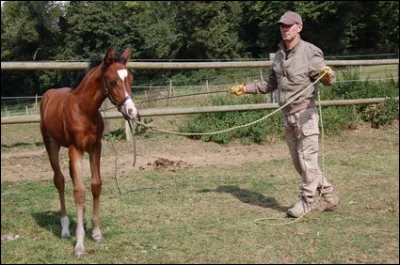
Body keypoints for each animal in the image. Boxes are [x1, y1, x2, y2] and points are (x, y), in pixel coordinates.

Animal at [39, 46, 139, 256]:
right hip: (51, 144)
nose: (132, 111)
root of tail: (48, 95)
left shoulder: (95, 147)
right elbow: (78, 191)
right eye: (112, 81)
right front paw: (79, 245)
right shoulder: (75, 149)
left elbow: (95, 185)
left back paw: (83, 222)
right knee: (60, 180)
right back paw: (65, 228)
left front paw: (96, 232)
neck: (83, 110)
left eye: (131, 79)